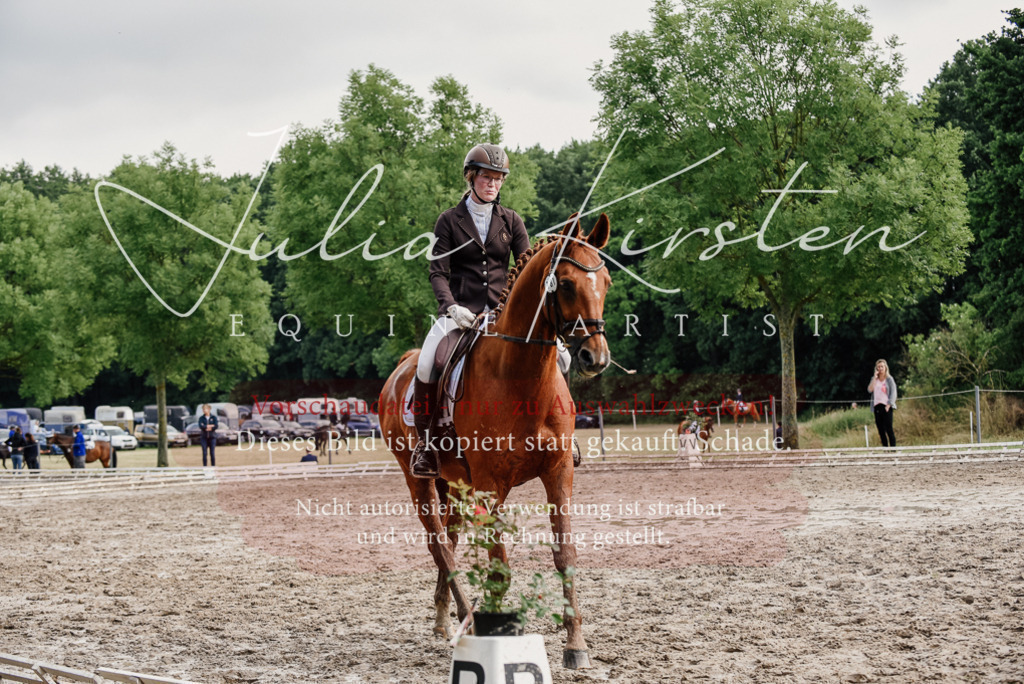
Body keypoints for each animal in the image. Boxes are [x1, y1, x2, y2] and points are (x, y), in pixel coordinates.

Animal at [379, 214, 612, 670]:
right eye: (567, 284)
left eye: (606, 282)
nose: (596, 357)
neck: (520, 375)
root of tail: (404, 364)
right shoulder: (490, 485)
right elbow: (498, 560)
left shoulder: (558, 473)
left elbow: (565, 555)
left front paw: (575, 645)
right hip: (418, 479)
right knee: (439, 543)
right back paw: (465, 616)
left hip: (453, 482)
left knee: (450, 537)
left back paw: (443, 621)